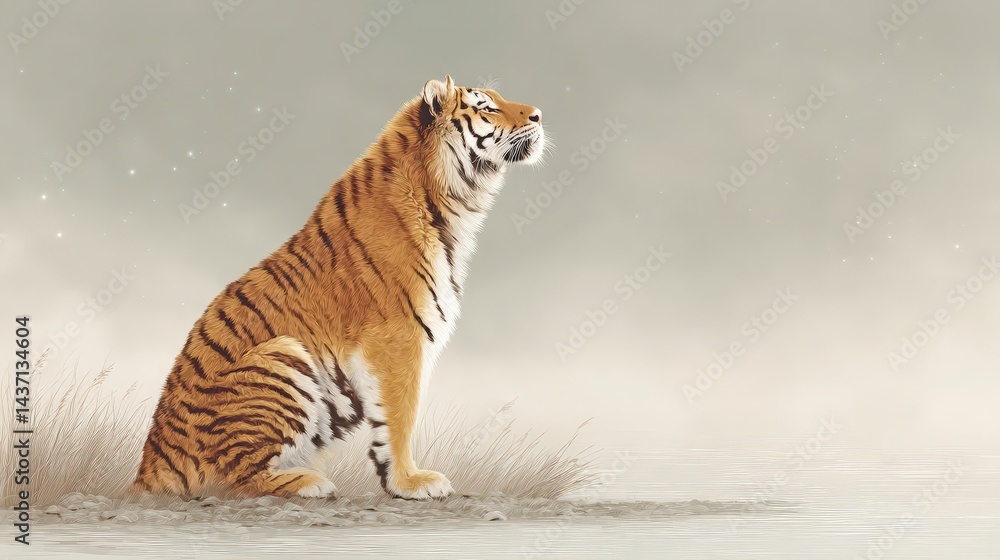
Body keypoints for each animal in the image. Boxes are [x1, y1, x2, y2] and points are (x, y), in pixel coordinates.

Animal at [133, 75, 545, 500]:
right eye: (486, 107)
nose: (539, 115)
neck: (453, 202)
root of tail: (151, 461)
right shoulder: (398, 338)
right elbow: (401, 415)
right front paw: (410, 482)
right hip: (284, 355)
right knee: (236, 479)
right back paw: (309, 481)